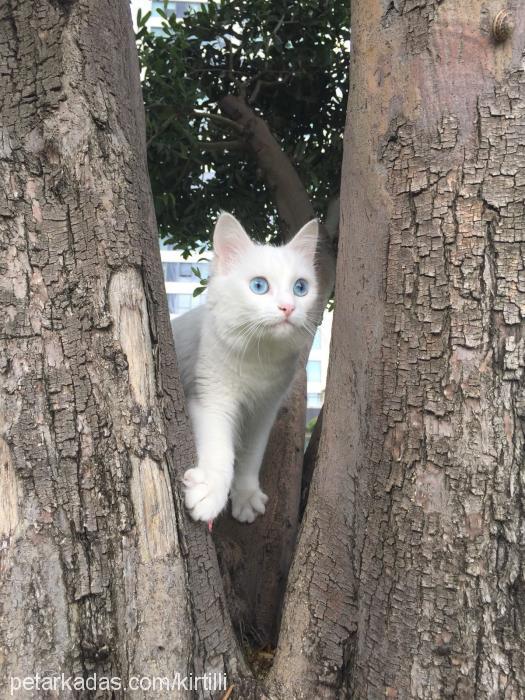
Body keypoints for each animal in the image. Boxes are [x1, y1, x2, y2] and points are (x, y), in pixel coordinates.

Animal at [172, 213, 318, 524]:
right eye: (259, 286)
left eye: (300, 288)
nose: (288, 307)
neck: (258, 360)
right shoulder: (211, 401)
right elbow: (221, 451)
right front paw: (210, 493)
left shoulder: (264, 410)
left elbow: (252, 456)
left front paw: (246, 496)